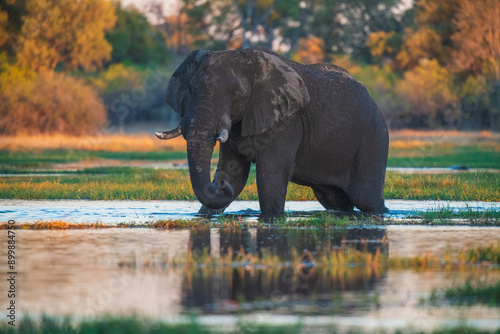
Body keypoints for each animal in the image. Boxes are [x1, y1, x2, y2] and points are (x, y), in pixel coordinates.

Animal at [154, 48, 388, 218]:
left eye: (236, 93)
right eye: (191, 89)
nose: (220, 185)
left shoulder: (286, 121)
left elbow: (270, 174)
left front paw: (271, 218)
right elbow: (234, 174)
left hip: (374, 136)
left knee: (365, 197)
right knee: (336, 200)